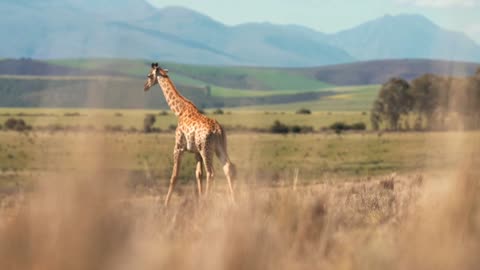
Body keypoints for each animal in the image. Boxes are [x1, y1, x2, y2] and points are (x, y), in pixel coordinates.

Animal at [142, 62, 236, 207]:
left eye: (149, 75)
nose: (145, 86)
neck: (179, 111)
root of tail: (217, 130)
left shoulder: (178, 147)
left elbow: (174, 176)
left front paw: (165, 205)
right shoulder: (196, 152)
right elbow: (198, 174)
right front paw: (199, 201)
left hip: (206, 149)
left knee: (211, 173)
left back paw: (208, 202)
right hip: (220, 147)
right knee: (228, 168)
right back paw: (234, 202)